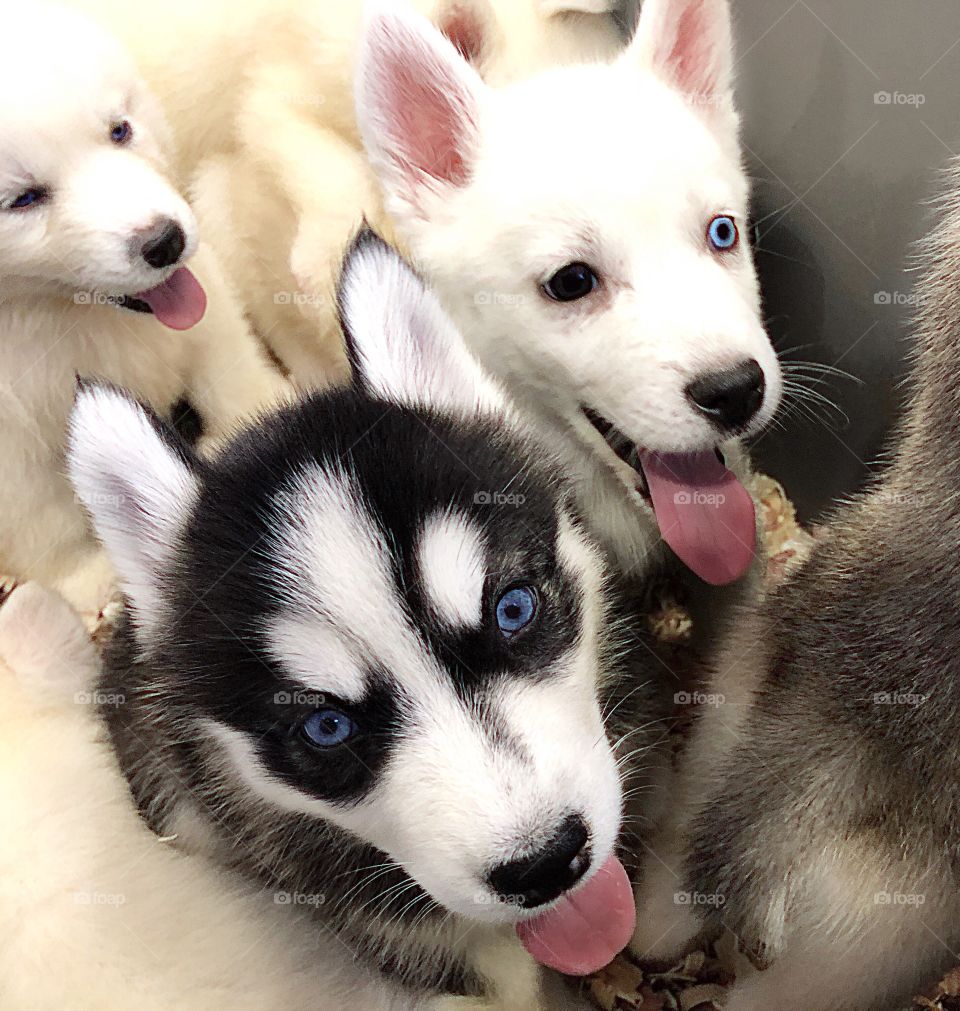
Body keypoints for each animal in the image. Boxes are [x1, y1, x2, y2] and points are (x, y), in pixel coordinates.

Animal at [0, 3, 284, 614]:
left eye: (119, 130)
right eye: (24, 199)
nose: (165, 241)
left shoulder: (205, 307)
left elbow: (228, 372)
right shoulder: (10, 432)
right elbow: (42, 515)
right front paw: (91, 582)